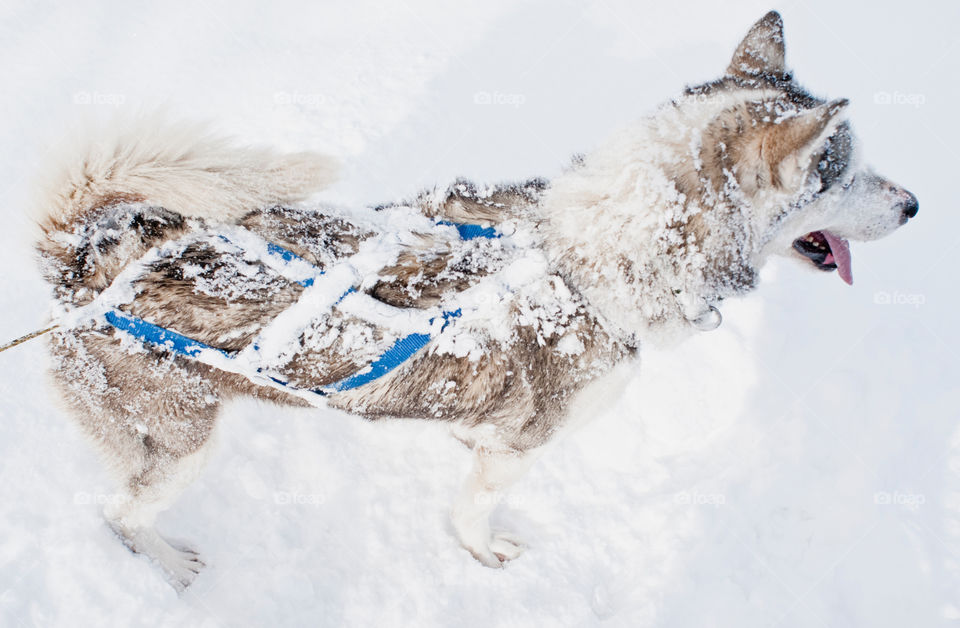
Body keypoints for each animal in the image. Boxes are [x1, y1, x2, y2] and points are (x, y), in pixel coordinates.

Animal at [35, 12, 916, 592]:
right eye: (842, 176)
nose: (915, 206)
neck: (589, 256)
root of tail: (90, 252)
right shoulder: (516, 450)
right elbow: (473, 516)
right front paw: (485, 557)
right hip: (179, 444)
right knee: (121, 515)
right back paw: (167, 566)